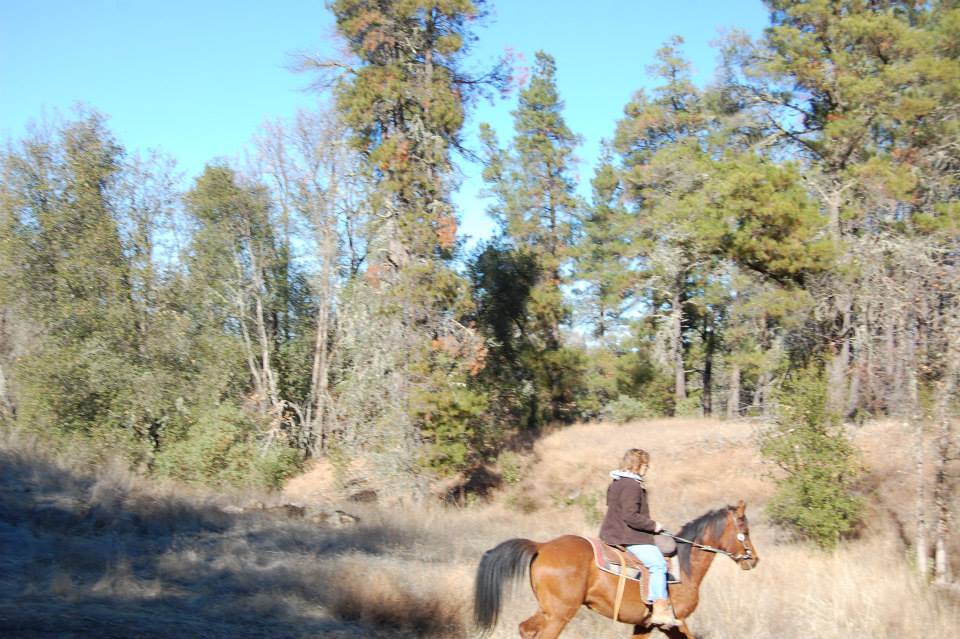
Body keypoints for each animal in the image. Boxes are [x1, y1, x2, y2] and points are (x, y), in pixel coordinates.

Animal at [472, 502, 756, 636]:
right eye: (744, 528)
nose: (753, 559)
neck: (684, 569)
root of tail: (541, 546)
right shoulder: (675, 622)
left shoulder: (645, 624)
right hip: (559, 615)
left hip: (548, 610)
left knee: (525, 629)